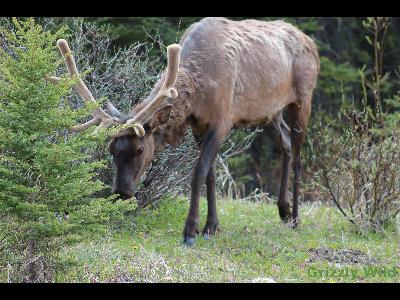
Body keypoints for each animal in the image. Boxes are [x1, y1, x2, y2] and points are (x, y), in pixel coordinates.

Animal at [50, 17, 318, 246]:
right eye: (111, 149)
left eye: (140, 148)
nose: (122, 192)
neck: (198, 95)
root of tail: (311, 42)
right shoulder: (199, 126)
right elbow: (211, 175)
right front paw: (211, 226)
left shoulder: (222, 120)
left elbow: (198, 172)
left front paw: (190, 231)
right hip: (268, 112)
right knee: (285, 144)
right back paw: (283, 210)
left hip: (303, 98)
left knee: (298, 155)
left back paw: (295, 218)